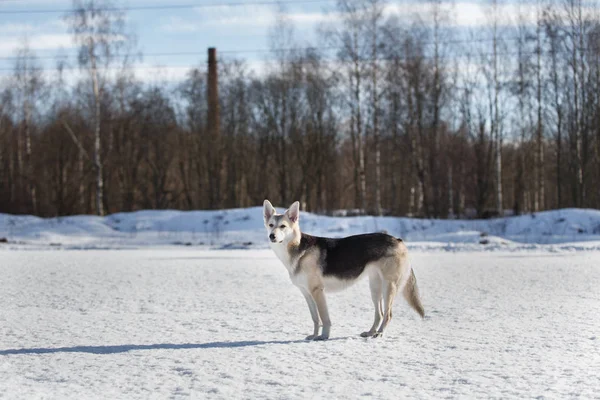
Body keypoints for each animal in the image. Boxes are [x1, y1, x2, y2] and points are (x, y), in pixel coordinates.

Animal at [264, 200, 426, 340]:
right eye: (271, 225)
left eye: (283, 226)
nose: (272, 236)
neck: (297, 249)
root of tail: (398, 240)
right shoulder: (307, 294)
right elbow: (315, 318)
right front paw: (314, 335)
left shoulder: (317, 292)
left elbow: (324, 318)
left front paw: (324, 336)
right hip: (375, 288)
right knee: (379, 314)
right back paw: (370, 332)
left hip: (389, 287)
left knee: (388, 314)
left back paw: (379, 333)